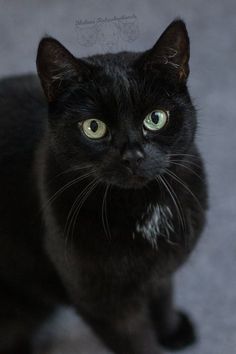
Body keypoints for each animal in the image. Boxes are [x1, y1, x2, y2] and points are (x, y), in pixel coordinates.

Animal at [0, 20, 206, 354]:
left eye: (156, 118)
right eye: (94, 127)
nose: (133, 155)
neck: (144, 210)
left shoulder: (160, 272)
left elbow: (163, 295)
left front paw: (172, 330)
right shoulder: (104, 305)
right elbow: (137, 343)